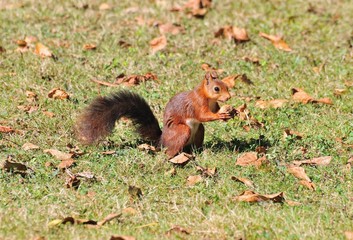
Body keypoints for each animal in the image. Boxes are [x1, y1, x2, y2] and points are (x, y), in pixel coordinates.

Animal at [75, 71, 232, 158]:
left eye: (226, 86)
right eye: (216, 89)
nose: (229, 97)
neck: (209, 98)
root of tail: (162, 140)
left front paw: (230, 113)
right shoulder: (197, 104)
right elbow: (203, 116)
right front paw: (219, 116)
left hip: (199, 131)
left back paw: (199, 152)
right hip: (181, 131)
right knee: (170, 149)